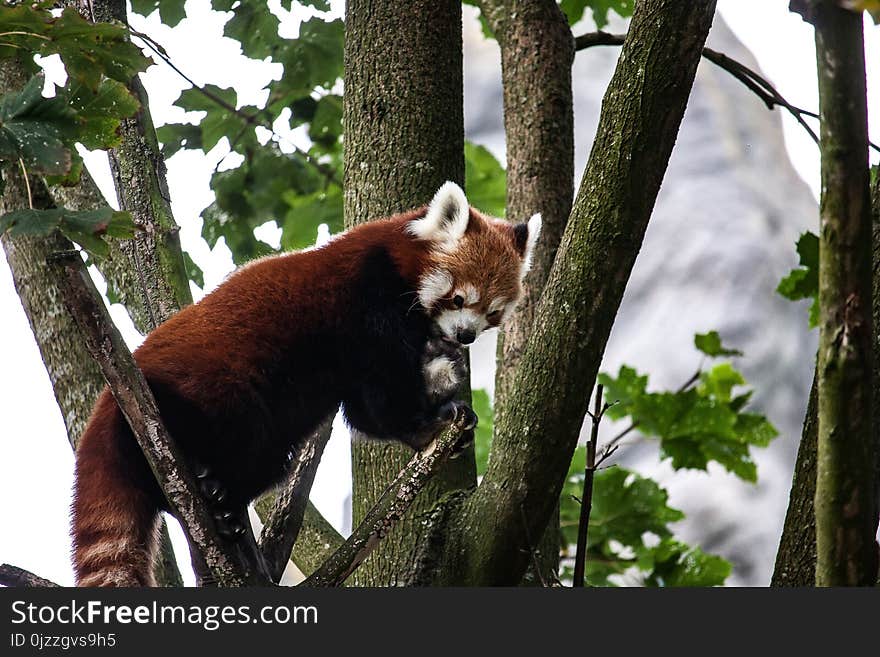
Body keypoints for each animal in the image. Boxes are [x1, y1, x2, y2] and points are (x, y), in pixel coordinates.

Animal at [74, 181, 544, 584]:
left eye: (493, 313)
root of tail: (107, 405)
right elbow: (384, 398)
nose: (466, 335)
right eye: (459, 297)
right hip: (200, 391)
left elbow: (368, 412)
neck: (395, 263)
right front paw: (429, 422)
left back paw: (224, 502)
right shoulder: (369, 306)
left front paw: (442, 401)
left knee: (265, 458)